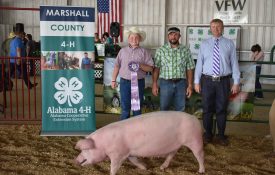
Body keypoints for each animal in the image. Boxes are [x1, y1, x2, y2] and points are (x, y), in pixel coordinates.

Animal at [75, 111, 205, 174]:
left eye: (85, 150)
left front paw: (111, 173)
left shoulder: (118, 154)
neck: (103, 144)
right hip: (176, 144)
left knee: (200, 155)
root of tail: (195, 118)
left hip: (195, 140)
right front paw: (145, 168)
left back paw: (201, 171)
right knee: (171, 154)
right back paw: (162, 167)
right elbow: (134, 160)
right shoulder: (129, 152)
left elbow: (114, 166)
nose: (75, 160)